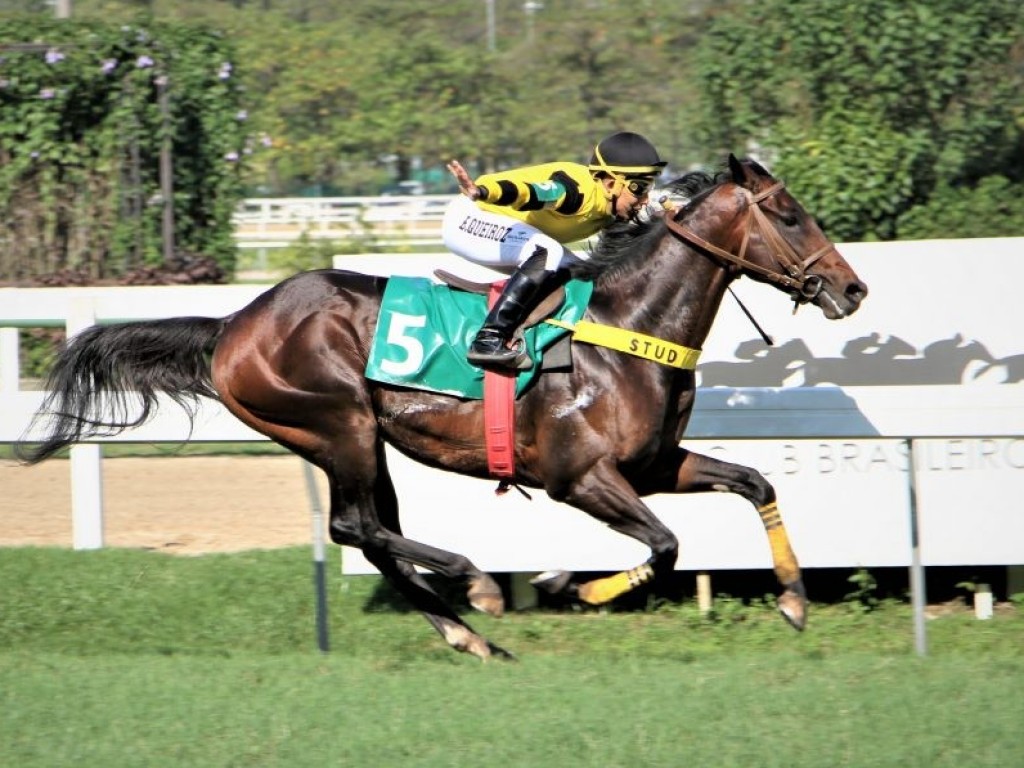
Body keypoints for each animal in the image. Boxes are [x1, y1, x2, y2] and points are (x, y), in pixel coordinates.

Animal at [18, 154, 864, 663]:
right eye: (789, 213)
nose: (852, 288)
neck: (628, 326)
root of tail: (233, 324)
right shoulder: (582, 478)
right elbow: (664, 546)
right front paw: (575, 588)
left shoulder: (653, 465)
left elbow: (755, 483)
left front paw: (793, 601)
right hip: (341, 424)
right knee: (354, 526)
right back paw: (477, 585)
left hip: (357, 442)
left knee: (373, 534)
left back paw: (467, 632)